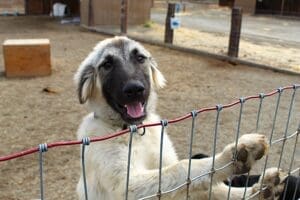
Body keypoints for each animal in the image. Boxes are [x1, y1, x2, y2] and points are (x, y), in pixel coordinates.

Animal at [75, 36, 286, 199]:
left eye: (140, 58)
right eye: (107, 64)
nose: (134, 89)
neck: (136, 132)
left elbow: (212, 188)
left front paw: (258, 191)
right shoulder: (125, 186)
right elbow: (184, 167)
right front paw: (229, 157)